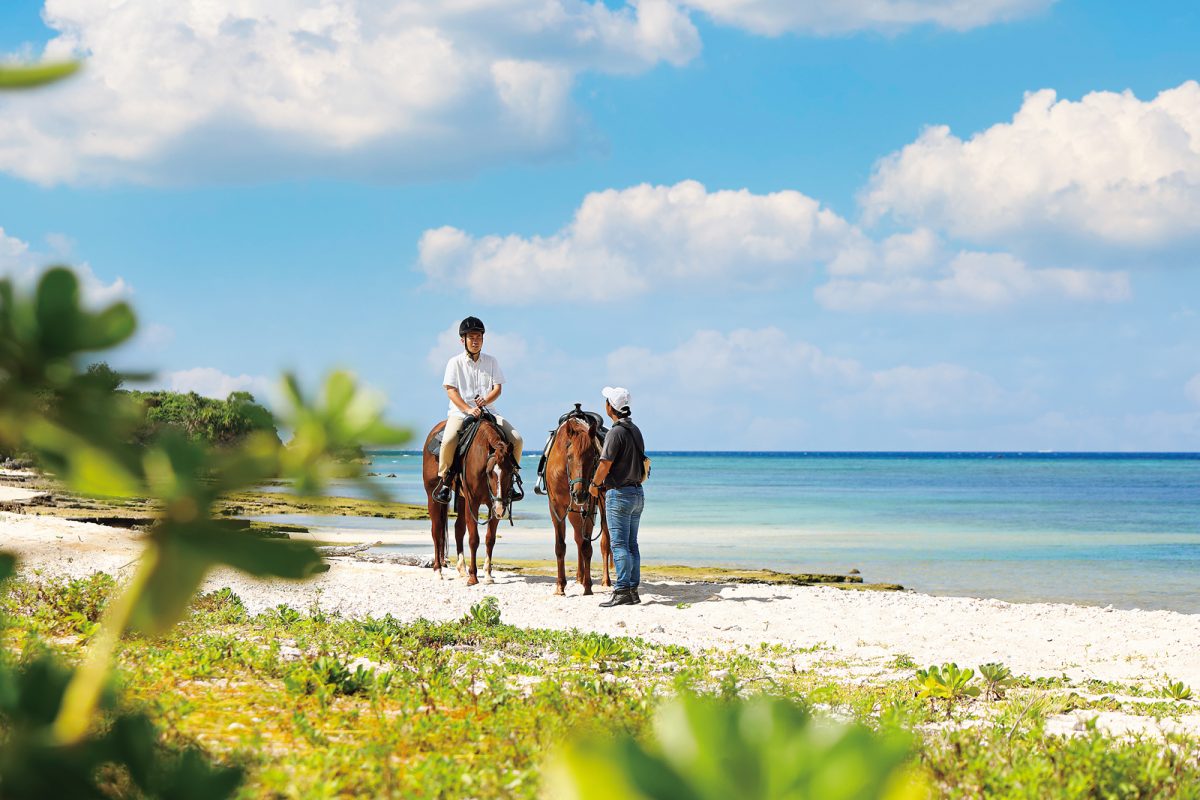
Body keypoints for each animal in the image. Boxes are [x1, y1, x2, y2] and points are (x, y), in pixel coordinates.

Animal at [422, 417, 516, 585]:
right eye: (489, 472)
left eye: (511, 471)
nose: (501, 510)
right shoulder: (473, 502)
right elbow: (474, 539)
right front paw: (473, 577)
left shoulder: (493, 504)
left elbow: (490, 539)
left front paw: (488, 575)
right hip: (432, 497)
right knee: (436, 531)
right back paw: (438, 571)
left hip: (461, 497)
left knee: (458, 528)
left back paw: (462, 569)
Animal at [549, 412, 614, 594]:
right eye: (569, 456)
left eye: (593, 457)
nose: (580, 494)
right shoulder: (556, 508)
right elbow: (560, 546)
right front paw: (560, 586)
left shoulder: (590, 506)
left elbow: (587, 546)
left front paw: (588, 586)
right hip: (574, 511)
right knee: (578, 537)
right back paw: (579, 577)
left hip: (602, 505)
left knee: (604, 542)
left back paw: (605, 580)